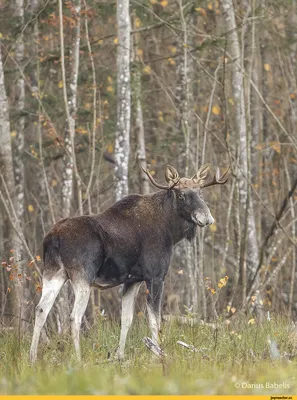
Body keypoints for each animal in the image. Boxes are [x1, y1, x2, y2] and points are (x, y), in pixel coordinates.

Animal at [30, 164, 228, 364]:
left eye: (200, 192)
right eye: (181, 195)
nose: (206, 218)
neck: (171, 231)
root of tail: (52, 239)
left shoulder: (132, 281)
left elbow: (126, 320)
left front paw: (120, 356)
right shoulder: (155, 276)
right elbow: (154, 320)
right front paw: (157, 355)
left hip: (54, 272)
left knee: (41, 309)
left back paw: (32, 357)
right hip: (82, 276)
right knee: (74, 317)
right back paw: (78, 359)